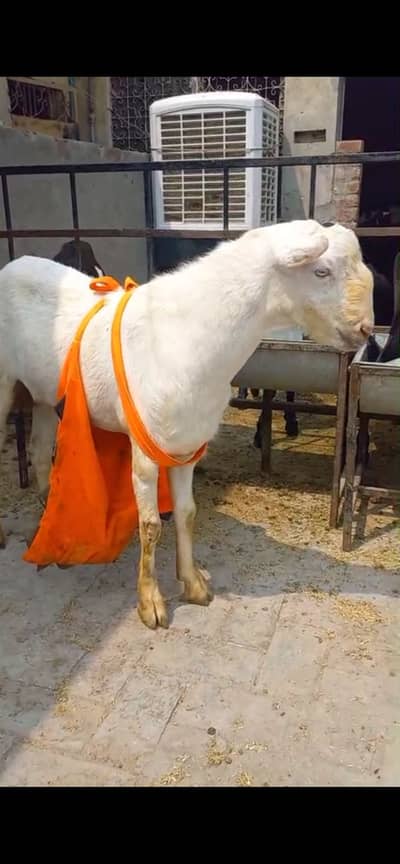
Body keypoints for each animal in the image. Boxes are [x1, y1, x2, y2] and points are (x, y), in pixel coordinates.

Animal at [0, 220, 374, 628]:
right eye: (321, 272)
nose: (366, 329)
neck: (188, 336)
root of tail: (13, 265)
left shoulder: (185, 444)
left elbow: (187, 513)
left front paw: (192, 584)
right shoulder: (145, 451)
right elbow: (150, 526)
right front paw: (150, 603)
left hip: (41, 394)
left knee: (39, 451)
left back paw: (44, 526)